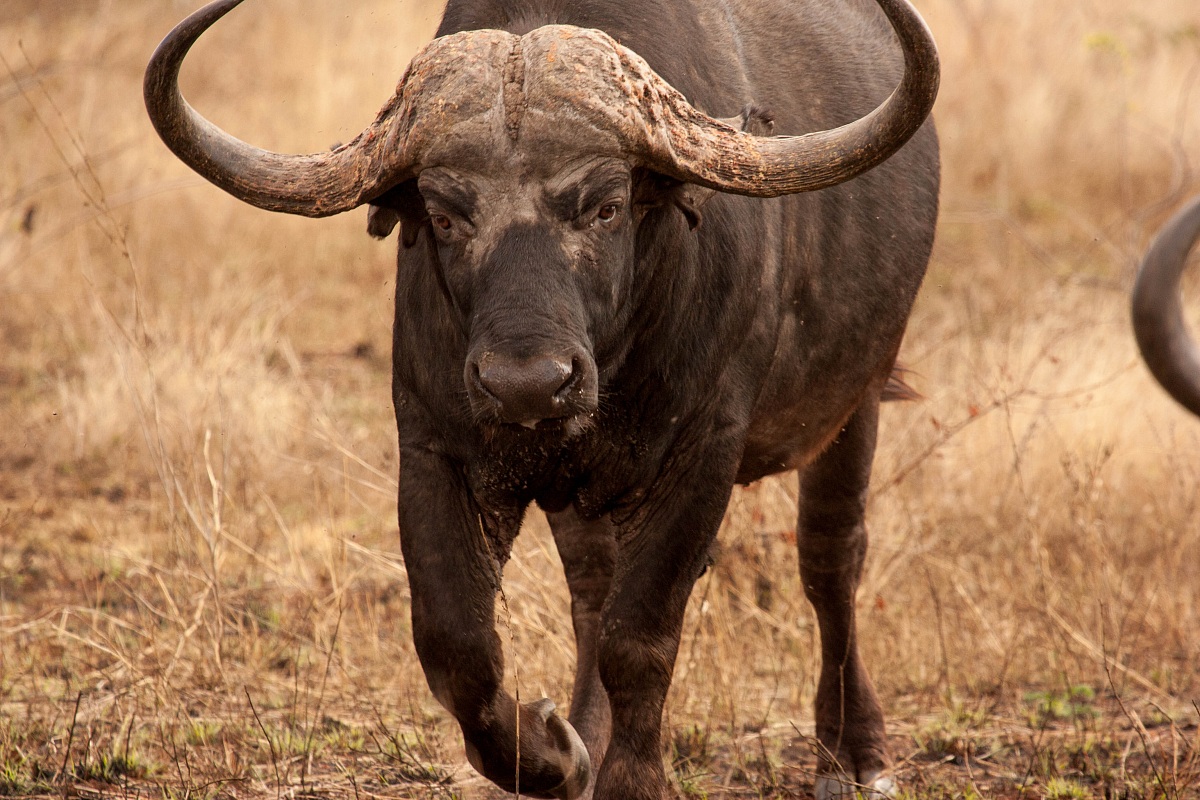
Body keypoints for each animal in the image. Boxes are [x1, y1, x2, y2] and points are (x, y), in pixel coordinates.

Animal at [145, 0, 940, 797]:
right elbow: (457, 648)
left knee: (831, 560)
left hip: (858, 400)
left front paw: (629, 780)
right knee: (591, 587)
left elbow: (640, 639)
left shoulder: (703, 451)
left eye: (608, 207)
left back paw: (852, 753)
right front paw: (554, 753)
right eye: (443, 215)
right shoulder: (435, 448)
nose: (526, 384)